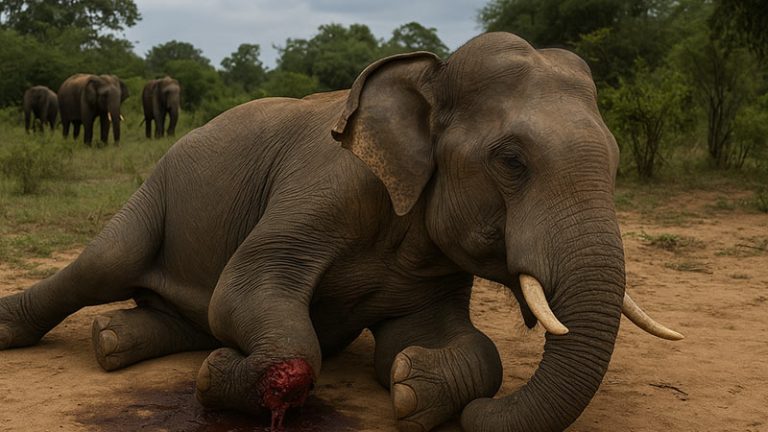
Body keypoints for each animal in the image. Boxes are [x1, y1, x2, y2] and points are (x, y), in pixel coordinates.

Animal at [0, 33, 683, 432]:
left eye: (617, 162)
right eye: (511, 161)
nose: (484, 418)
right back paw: (25, 330)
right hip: (156, 190)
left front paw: (414, 384)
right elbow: (248, 295)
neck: (429, 75)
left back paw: (112, 340)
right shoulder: (327, 183)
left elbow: (455, 347)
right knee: (106, 265)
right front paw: (217, 378)